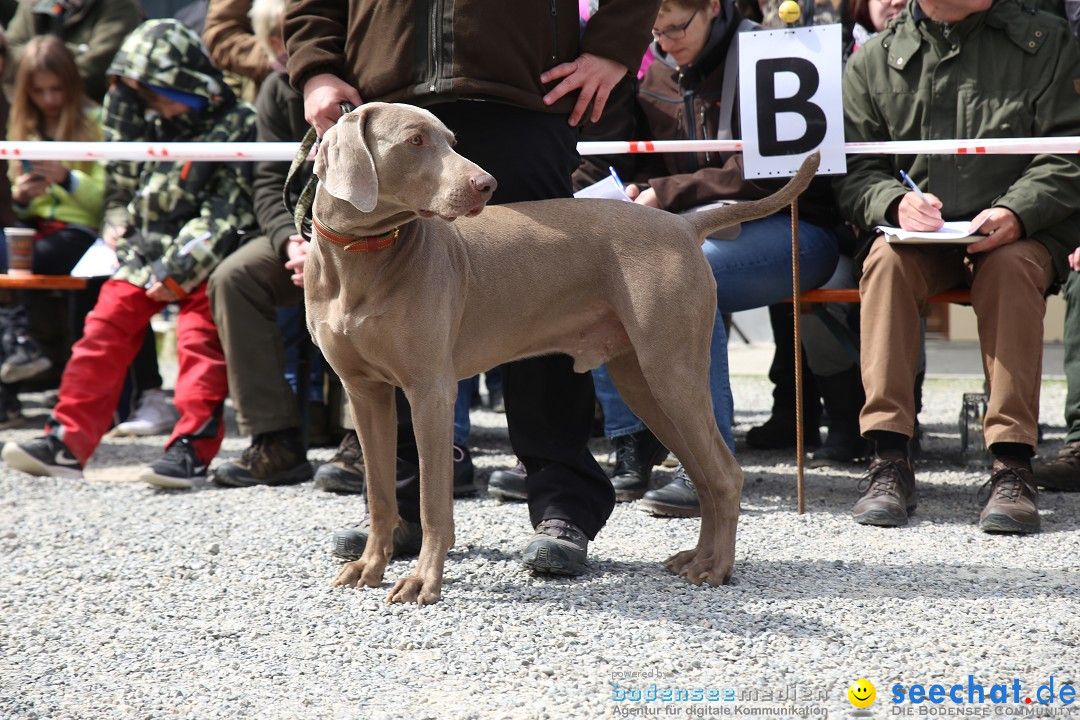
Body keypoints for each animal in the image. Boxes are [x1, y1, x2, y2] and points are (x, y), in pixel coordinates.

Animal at [304, 101, 816, 604]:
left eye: (450, 140)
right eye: (415, 141)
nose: (486, 184)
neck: (361, 257)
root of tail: (683, 222)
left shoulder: (430, 392)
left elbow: (433, 501)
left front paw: (422, 581)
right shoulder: (365, 392)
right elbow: (381, 493)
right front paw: (369, 567)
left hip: (673, 371)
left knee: (726, 473)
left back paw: (717, 567)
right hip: (644, 382)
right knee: (705, 473)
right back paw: (697, 557)